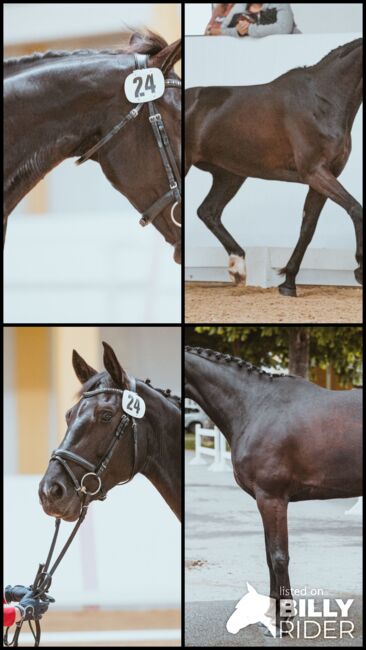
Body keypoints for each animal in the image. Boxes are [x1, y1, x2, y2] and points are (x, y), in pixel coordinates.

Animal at [186, 36, 364, 294]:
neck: (323, 100)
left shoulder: (324, 176)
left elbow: (308, 228)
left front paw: (288, 283)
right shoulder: (315, 172)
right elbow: (355, 209)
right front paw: (360, 269)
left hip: (230, 174)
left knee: (208, 211)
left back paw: (238, 268)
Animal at [186, 346, 364, 632]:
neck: (255, 407)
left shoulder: (272, 498)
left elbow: (279, 556)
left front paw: (283, 622)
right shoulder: (265, 500)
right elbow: (270, 556)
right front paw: (273, 615)